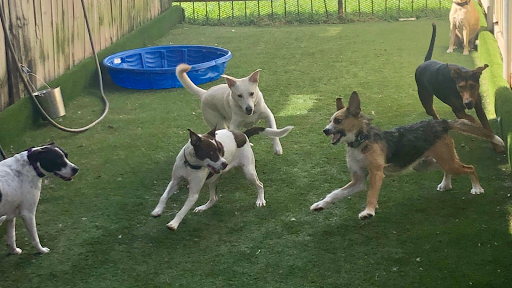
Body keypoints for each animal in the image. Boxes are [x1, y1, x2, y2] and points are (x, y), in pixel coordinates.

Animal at [151, 125, 292, 231]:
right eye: (212, 152)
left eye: (220, 150)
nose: (225, 164)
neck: (190, 165)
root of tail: (242, 134)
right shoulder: (175, 181)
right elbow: (163, 196)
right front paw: (157, 210)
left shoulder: (193, 193)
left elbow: (182, 210)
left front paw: (174, 223)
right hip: (212, 180)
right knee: (214, 198)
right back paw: (204, 207)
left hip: (248, 172)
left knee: (260, 184)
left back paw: (260, 200)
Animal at [310, 91, 506, 219]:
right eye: (330, 121)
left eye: (338, 121)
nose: (325, 130)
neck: (361, 141)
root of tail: (442, 123)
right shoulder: (358, 180)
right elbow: (336, 194)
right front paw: (320, 205)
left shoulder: (376, 174)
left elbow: (371, 194)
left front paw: (368, 211)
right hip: (426, 164)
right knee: (447, 168)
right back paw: (446, 184)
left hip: (446, 161)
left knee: (470, 167)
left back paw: (477, 188)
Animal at [414, 22, 502, 153]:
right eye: (460, 87)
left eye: (473, 86)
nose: (468, 103)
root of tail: (425, 62)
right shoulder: (458, 111)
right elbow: (473, 120)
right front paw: (477, 127)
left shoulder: (479, 107)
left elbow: (487, 126)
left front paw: (496, 145)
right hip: (425, 98)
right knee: (432, 113)